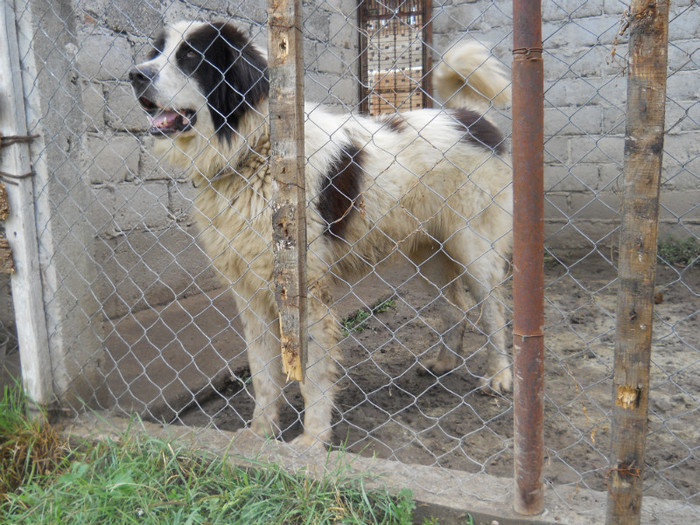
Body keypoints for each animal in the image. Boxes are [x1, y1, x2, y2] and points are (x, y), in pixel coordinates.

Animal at [130, 20, 516, 446]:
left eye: (191, 56)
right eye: (157, 53)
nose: (134, 75)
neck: (257, 151)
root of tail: (470, 117)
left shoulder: (305, 291)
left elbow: (312, 373)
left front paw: (313, 440)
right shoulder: (250, 293)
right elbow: (263, 374)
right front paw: (260, 435)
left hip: (475, 249)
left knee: (493, 311)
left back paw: (500, 376)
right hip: (427, 255)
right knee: (456, 307)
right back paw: (444, 361)